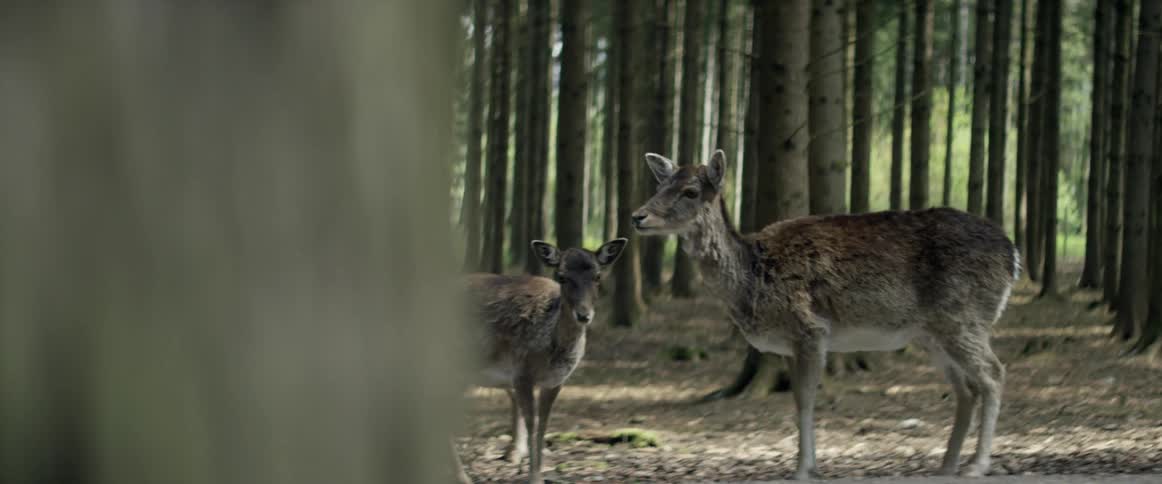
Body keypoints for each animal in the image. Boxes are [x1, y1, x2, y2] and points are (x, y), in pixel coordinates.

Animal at [456, 238, 628, 484]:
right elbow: (532, 423)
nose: (583, 315)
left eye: (597, 276)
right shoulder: (521, 375)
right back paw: (462, 476)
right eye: (562, 276)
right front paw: (533, 477)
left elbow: (544, 425)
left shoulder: (556, 382)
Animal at [631, 150, 1018, 480]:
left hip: (963, 318)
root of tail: (1013, 256)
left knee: (993, 374)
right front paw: (808, 465)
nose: (637, 216)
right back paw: (947, 465)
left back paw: (977, 465)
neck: (752, 280)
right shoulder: (787, 345)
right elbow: (797, 400)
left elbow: (806, 399)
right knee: (967, 389)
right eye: (660, 185)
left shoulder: (810, 329)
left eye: (691, 191)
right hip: (932, 334)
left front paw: (803, 470)